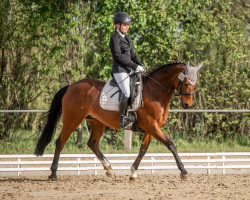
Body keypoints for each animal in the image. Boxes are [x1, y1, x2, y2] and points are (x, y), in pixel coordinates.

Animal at [34, 61, 203, 180]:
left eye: (195, 83)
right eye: (186, 83)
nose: (187, 105)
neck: (155, 92)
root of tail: (71, 86)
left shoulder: (151, 128)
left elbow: (143, 150)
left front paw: (133, 173)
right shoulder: (153, 126)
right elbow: (171, 145)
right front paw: (183, 171)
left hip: (97, 122)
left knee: (92, 143)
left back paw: (109, 169)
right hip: (72, 120)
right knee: (60, 142)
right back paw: (53, 174)